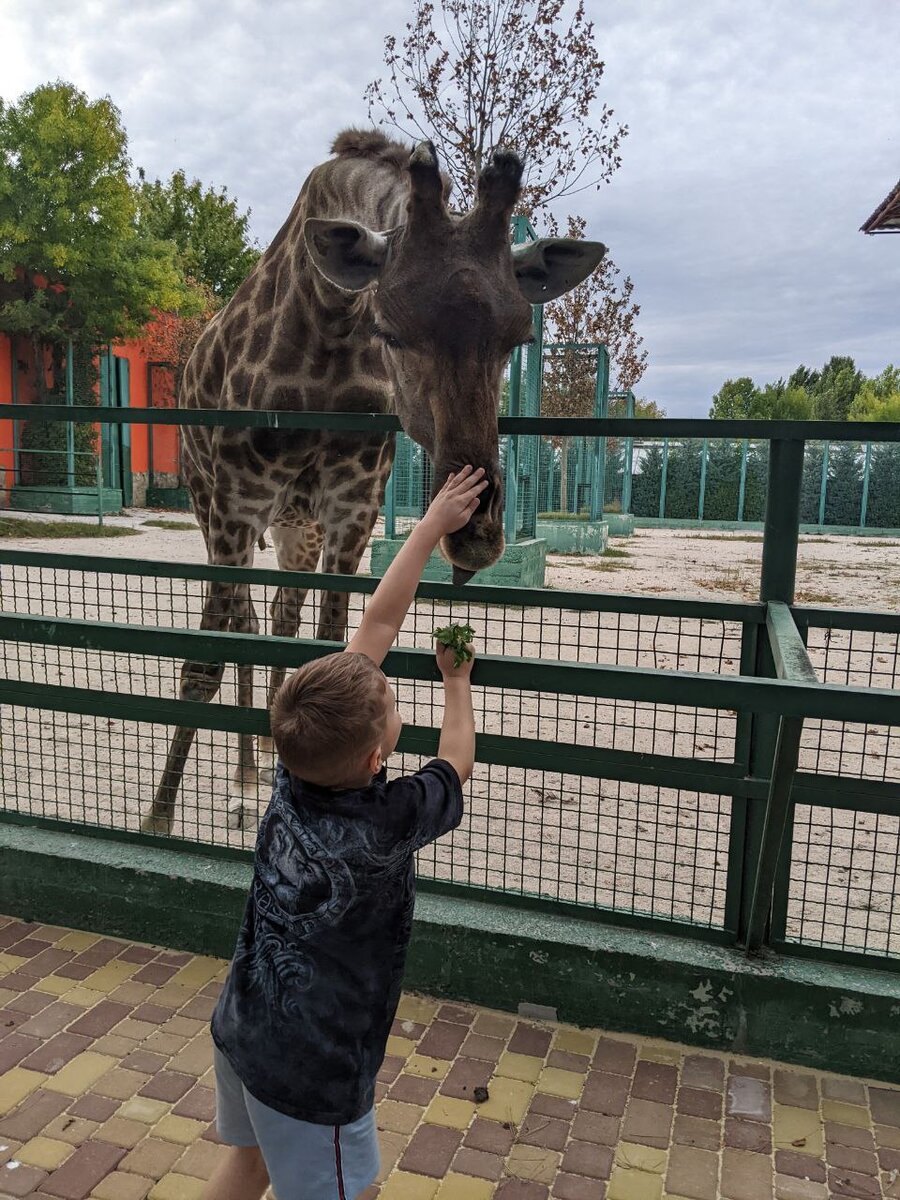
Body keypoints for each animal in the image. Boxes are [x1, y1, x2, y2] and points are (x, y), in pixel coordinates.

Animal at [141, 129, 607, 835]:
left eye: (517, 334)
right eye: (390, 329)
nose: (477, 538)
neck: (327, 322)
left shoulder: (350, 507)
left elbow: (330, 644)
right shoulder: (236, 503)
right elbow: (201, 664)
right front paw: (157, 822)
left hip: (295, 529)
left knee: (278, 619)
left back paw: (256, 776)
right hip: (210, 505)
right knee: (244, 624)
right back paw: (242, 786)